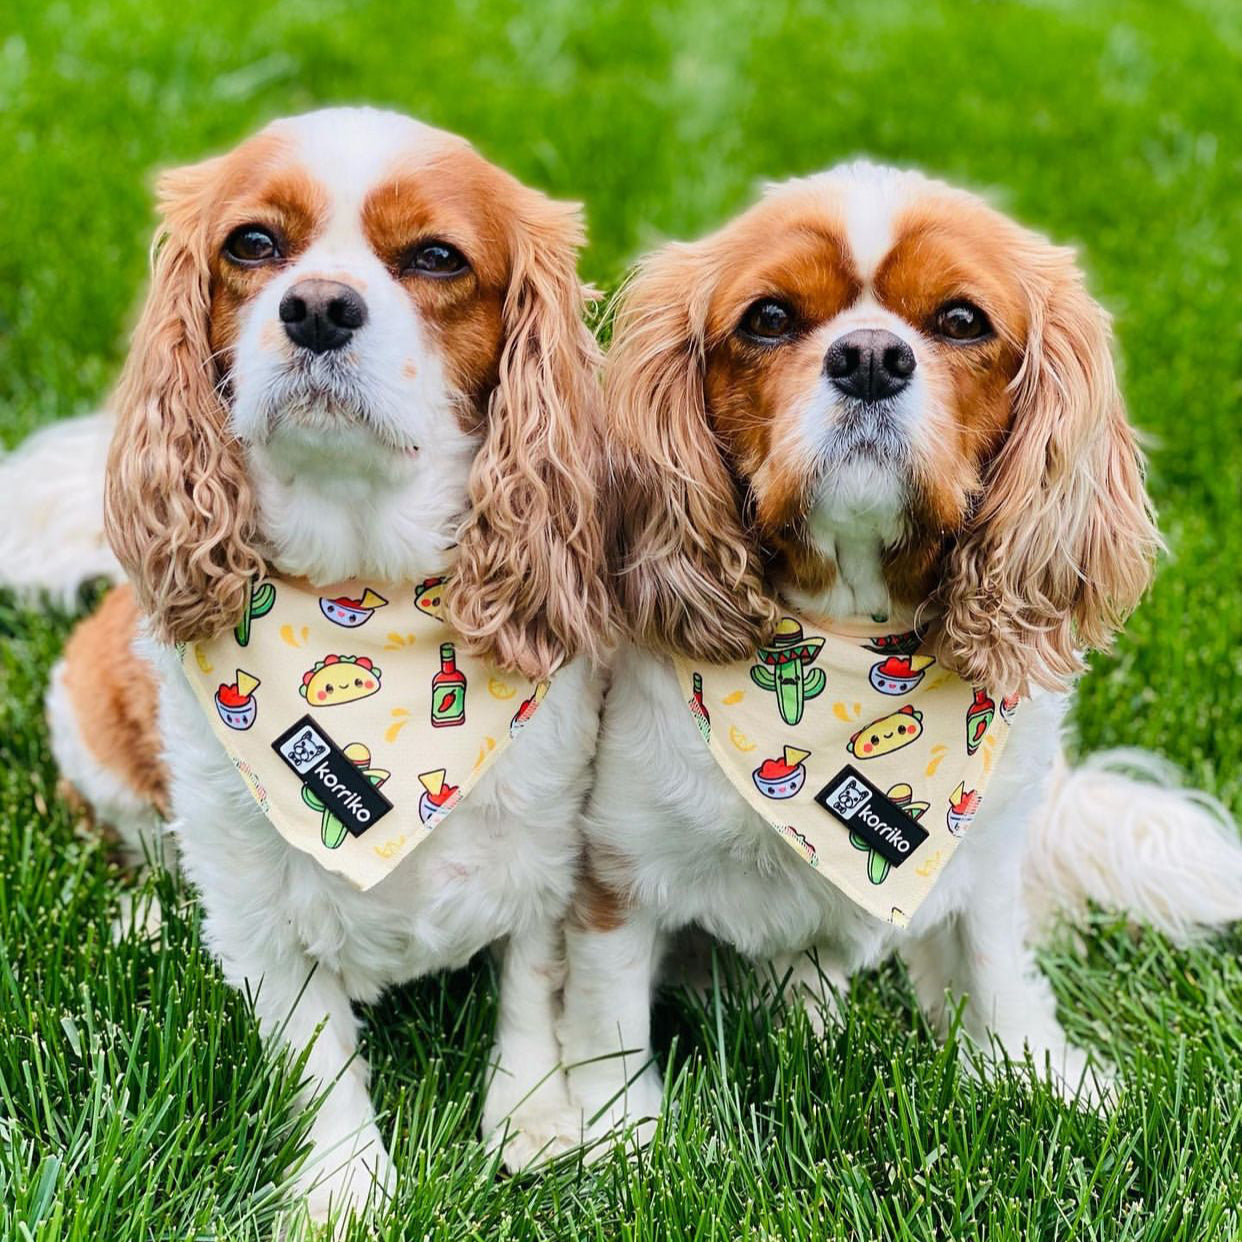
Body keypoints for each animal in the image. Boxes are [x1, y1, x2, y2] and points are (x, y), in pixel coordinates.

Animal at [30, 109, 611, 1222]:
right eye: (253, 244)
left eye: (436, 258)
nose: (318, 308)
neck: (363, 591)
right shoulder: (257, 897)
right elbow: (316, 1050)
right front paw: (344, 1184)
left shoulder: (554, 844)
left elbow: (533, 984)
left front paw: (535, 1120)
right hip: (85, 722)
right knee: (119, 835)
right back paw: (141, 918)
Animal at [558, 162, 1242, 1142]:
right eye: (769, 318)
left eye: (961, 321)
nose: (872, 357)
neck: (848, 640)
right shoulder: (617, 866)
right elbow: (608, 1019)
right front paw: (613, 1137)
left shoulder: (984, 854)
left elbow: (992, 965)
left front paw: (1034, 1071)